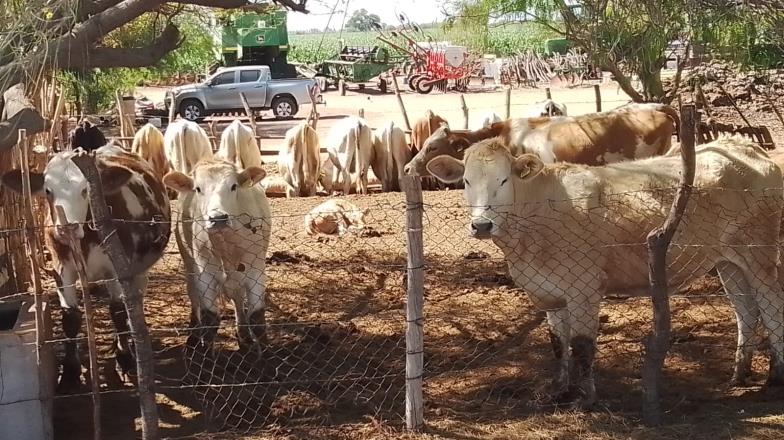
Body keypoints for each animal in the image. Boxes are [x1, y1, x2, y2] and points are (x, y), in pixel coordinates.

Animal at [0, 145, 172, 388]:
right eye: (48, 190)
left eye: (85, 190)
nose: (67, 228)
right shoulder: (61, 268)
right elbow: (70, 317)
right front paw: (70, 371)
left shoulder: (117, 269)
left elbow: (118, 311)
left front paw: (124, 358)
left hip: (141, 269)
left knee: (133, 302)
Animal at [162, 160, 272, 348]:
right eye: (198, 188)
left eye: (234, 186)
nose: (218, 218)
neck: (226, 244)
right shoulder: (204, 273)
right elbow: (210, 319)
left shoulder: (256, 271)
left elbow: (257, 319)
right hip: (189, 266)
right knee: (194, 298)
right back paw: (193, 334)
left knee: (237, 298)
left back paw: (243, 333)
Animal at [426, 134, 784, 406]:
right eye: (466, 181)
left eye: (503, 180)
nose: (481, 225)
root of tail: (745, 147)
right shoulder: (548, 293)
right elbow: (559, 343)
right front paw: (560, 391)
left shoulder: (584, 289)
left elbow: (583, 346)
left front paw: (586, 399)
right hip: (728, 262)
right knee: (746, 311)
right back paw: (739, 374)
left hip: (760, 252)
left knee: (771, 307)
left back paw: (774, 378)